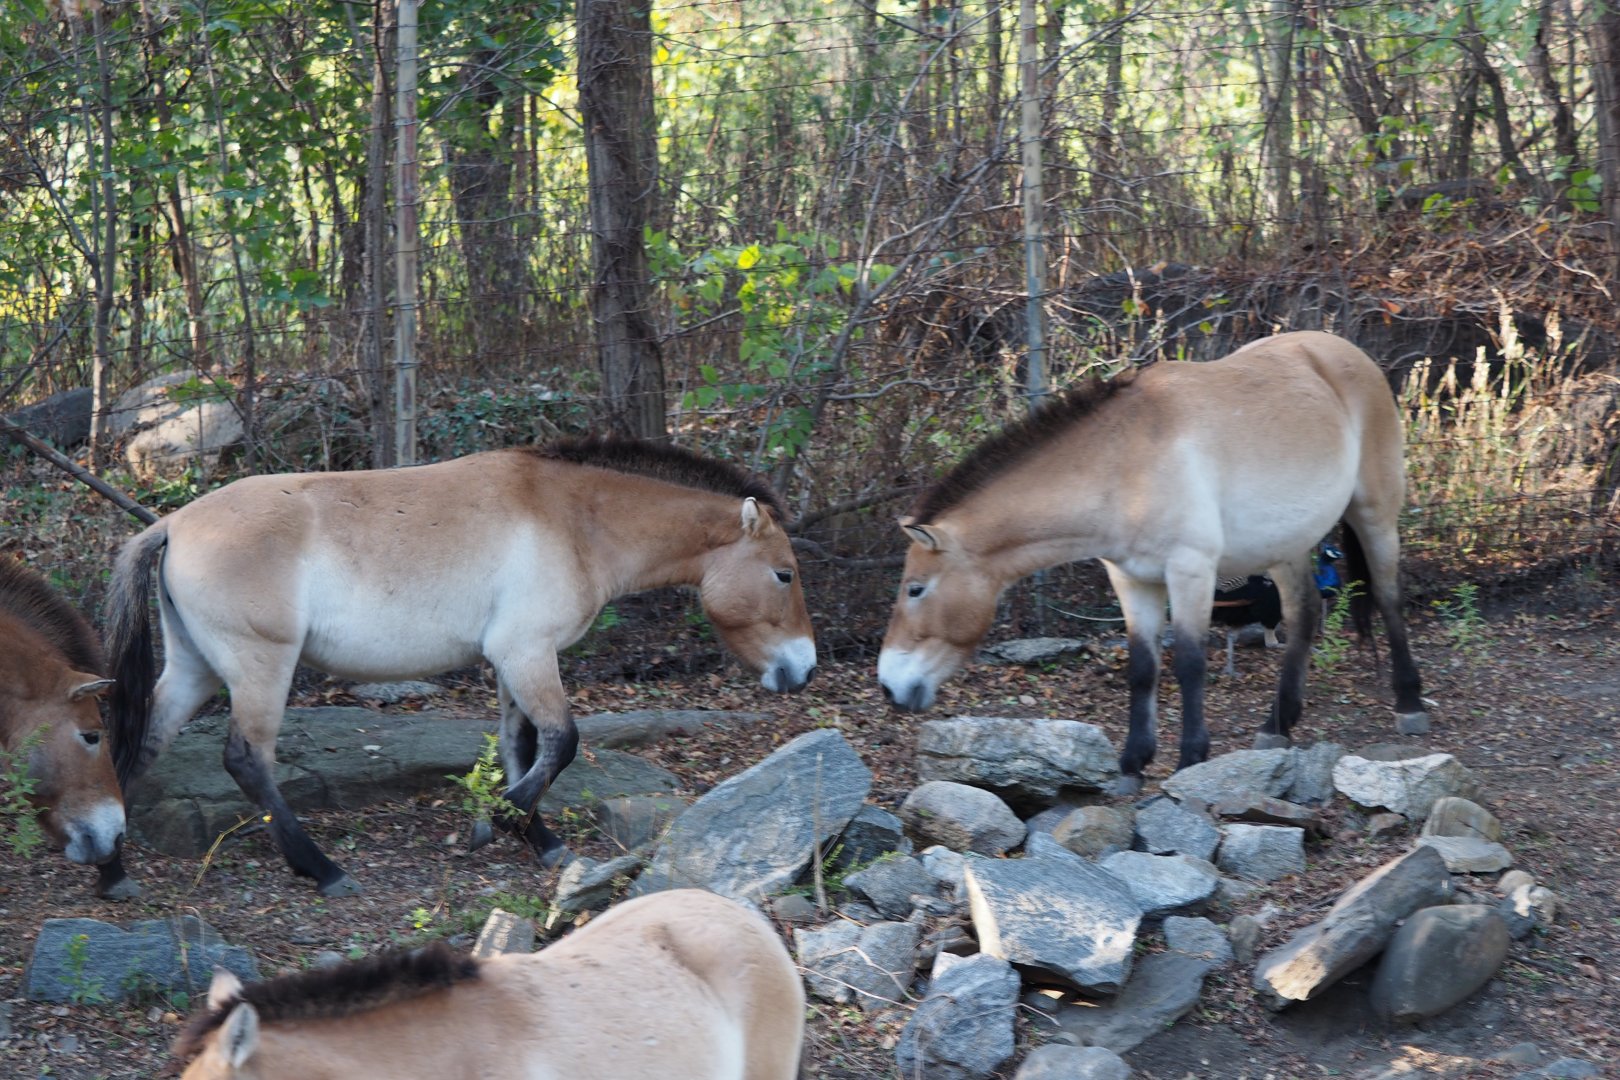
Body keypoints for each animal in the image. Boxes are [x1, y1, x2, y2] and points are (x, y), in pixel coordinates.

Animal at [101, 437, 817, 898]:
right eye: (784, 573)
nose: (803, 669)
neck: (576, 520)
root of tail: (171, 524)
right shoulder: (528, 653)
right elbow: (561, 743)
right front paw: (498, 822)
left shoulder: (512, 662)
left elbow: (521, 747)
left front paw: (534, 836)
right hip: (260, 668)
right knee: (246, 761)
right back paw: (322, 870)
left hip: (196, 669)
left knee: (139, 745)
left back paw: (111, 871)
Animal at [877, 331, 1427, 783]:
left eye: (916, 589)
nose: (888, 686)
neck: (1125, 463)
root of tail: (1346, 353)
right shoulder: (1132, 580)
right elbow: (1143, 667)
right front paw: (1132, 762)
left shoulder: (1190, 571)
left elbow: (1188, 663)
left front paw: (1189, 759)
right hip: (1286, 544)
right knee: (1304, 613)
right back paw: (1277, 724)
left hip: (1375, 514)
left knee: (1388, 597)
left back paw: (1409, 703)